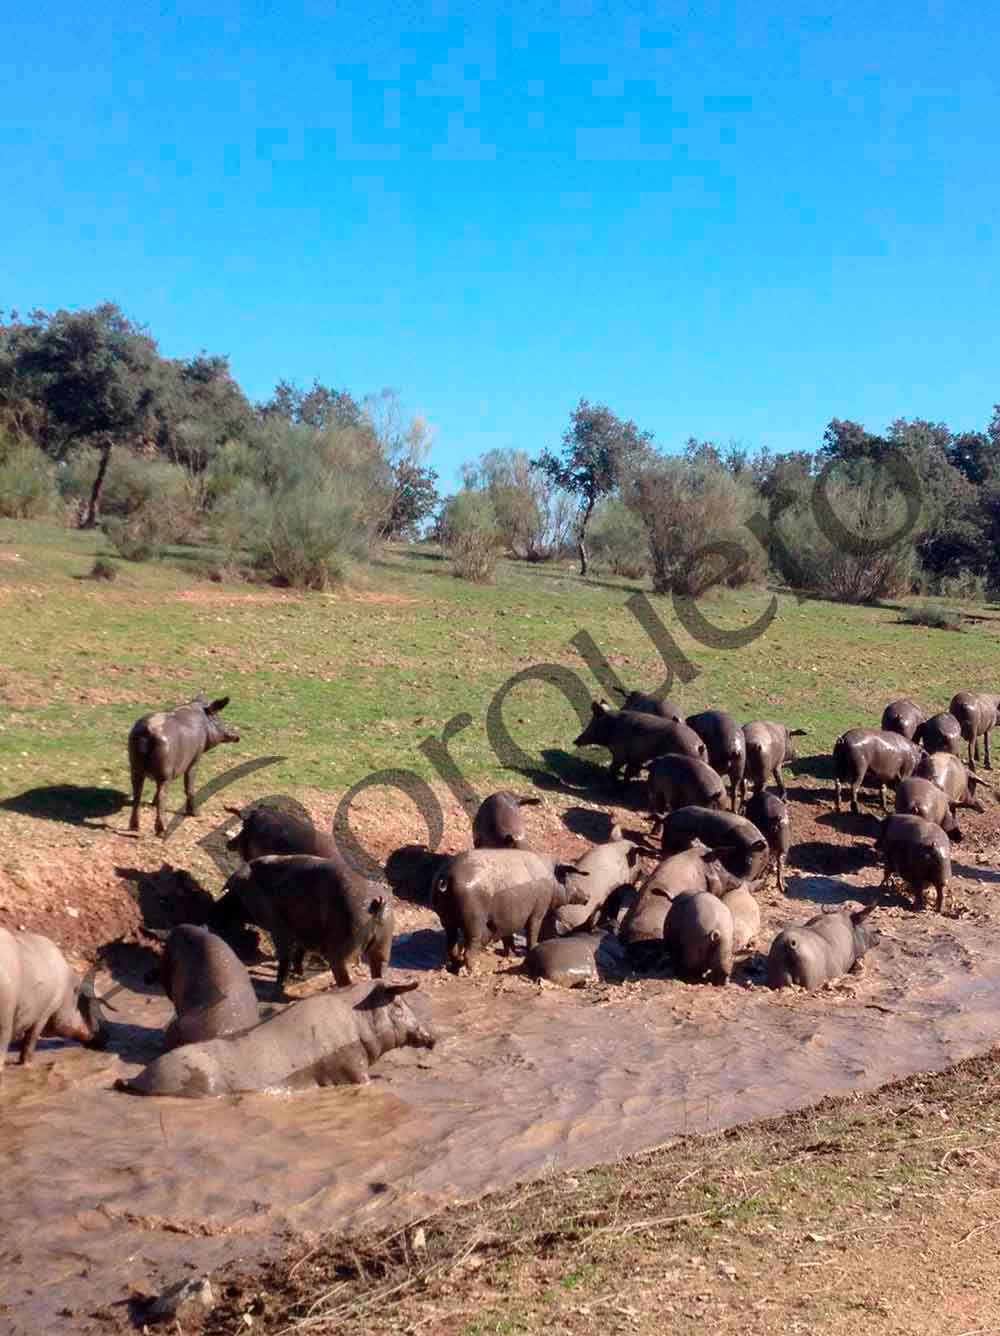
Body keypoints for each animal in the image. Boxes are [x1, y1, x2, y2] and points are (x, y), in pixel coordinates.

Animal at [0, 929, 111, 1084]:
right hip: (5, 1014)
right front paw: (27, 1064)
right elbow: (31, 1039)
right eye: (88, 1007)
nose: (108, 1036)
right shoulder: (45, 1011)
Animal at [127, 700, 240, 833]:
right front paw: (197, 814)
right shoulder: (195, 759)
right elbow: (189, 787)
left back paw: (134, 827)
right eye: (217, 718)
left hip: (135, 767)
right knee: (161, 795)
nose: (237, 736)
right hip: (164, 772)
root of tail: (148, 732)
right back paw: (163, 828)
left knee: (137, 794)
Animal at [574, 700, 704, 780]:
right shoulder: (636, 757)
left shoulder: (620, 754)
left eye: (592, 722)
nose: (575, 740)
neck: (613, 727)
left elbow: (613, 768)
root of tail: (699, 745)